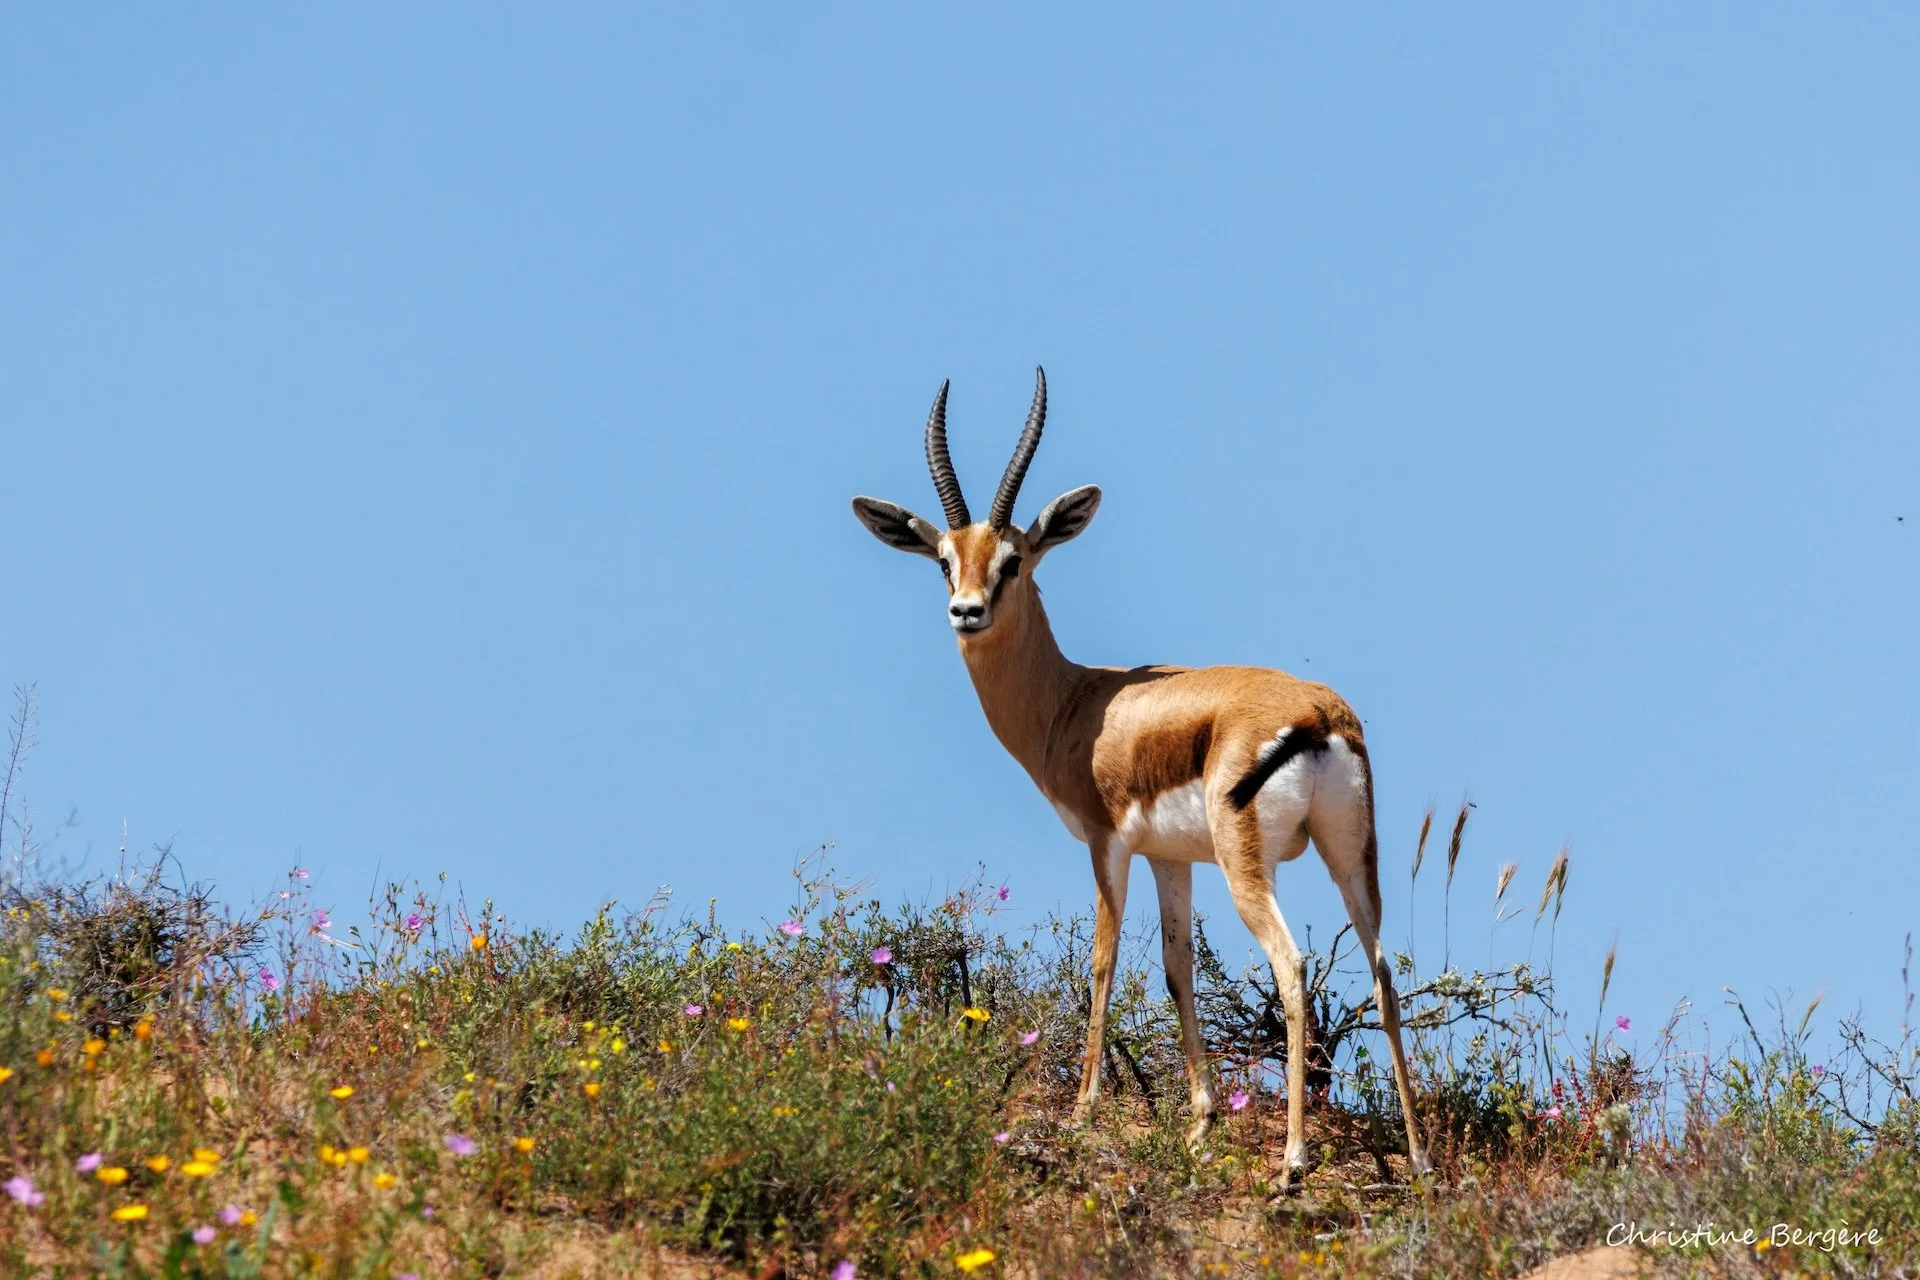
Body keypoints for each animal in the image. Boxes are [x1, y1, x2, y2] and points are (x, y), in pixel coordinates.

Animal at [850, 368, 1430, 1185]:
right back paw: (1417, 1156)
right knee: (1383, 972)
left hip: (1249, 866)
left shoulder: (1106, 844)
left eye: (1013, 560)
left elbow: (1102, 962)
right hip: (1349, 855)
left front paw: (1084, 1112)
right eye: (943, 559)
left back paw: (1292, 1161)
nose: (966, 612)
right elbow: (1175, 966)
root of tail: (1317, 711)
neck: (1075, 702)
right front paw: (1201, 1124)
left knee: (1292, 966)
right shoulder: (1168, 859)